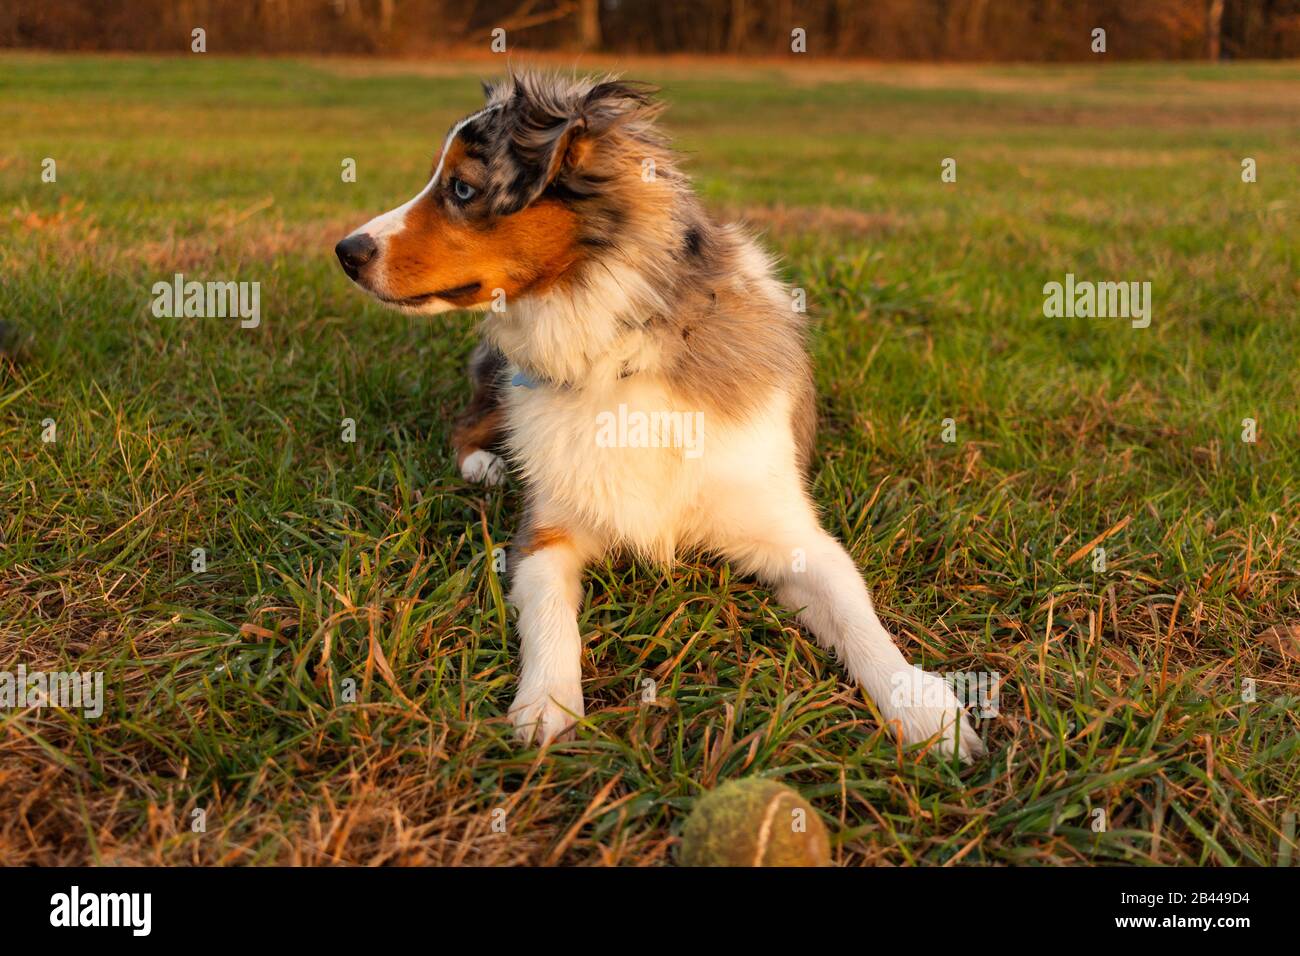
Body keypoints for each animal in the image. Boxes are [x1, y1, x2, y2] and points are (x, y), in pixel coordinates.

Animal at [340, 70, 977, 764]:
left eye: (461, 188)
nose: (344, 251)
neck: (620, 351)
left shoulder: (795, 534)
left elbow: (856, 611)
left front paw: (921, 706)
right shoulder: (545, 535)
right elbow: (550, 618)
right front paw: (546, 705)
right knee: (467, 423)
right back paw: (486, 466)